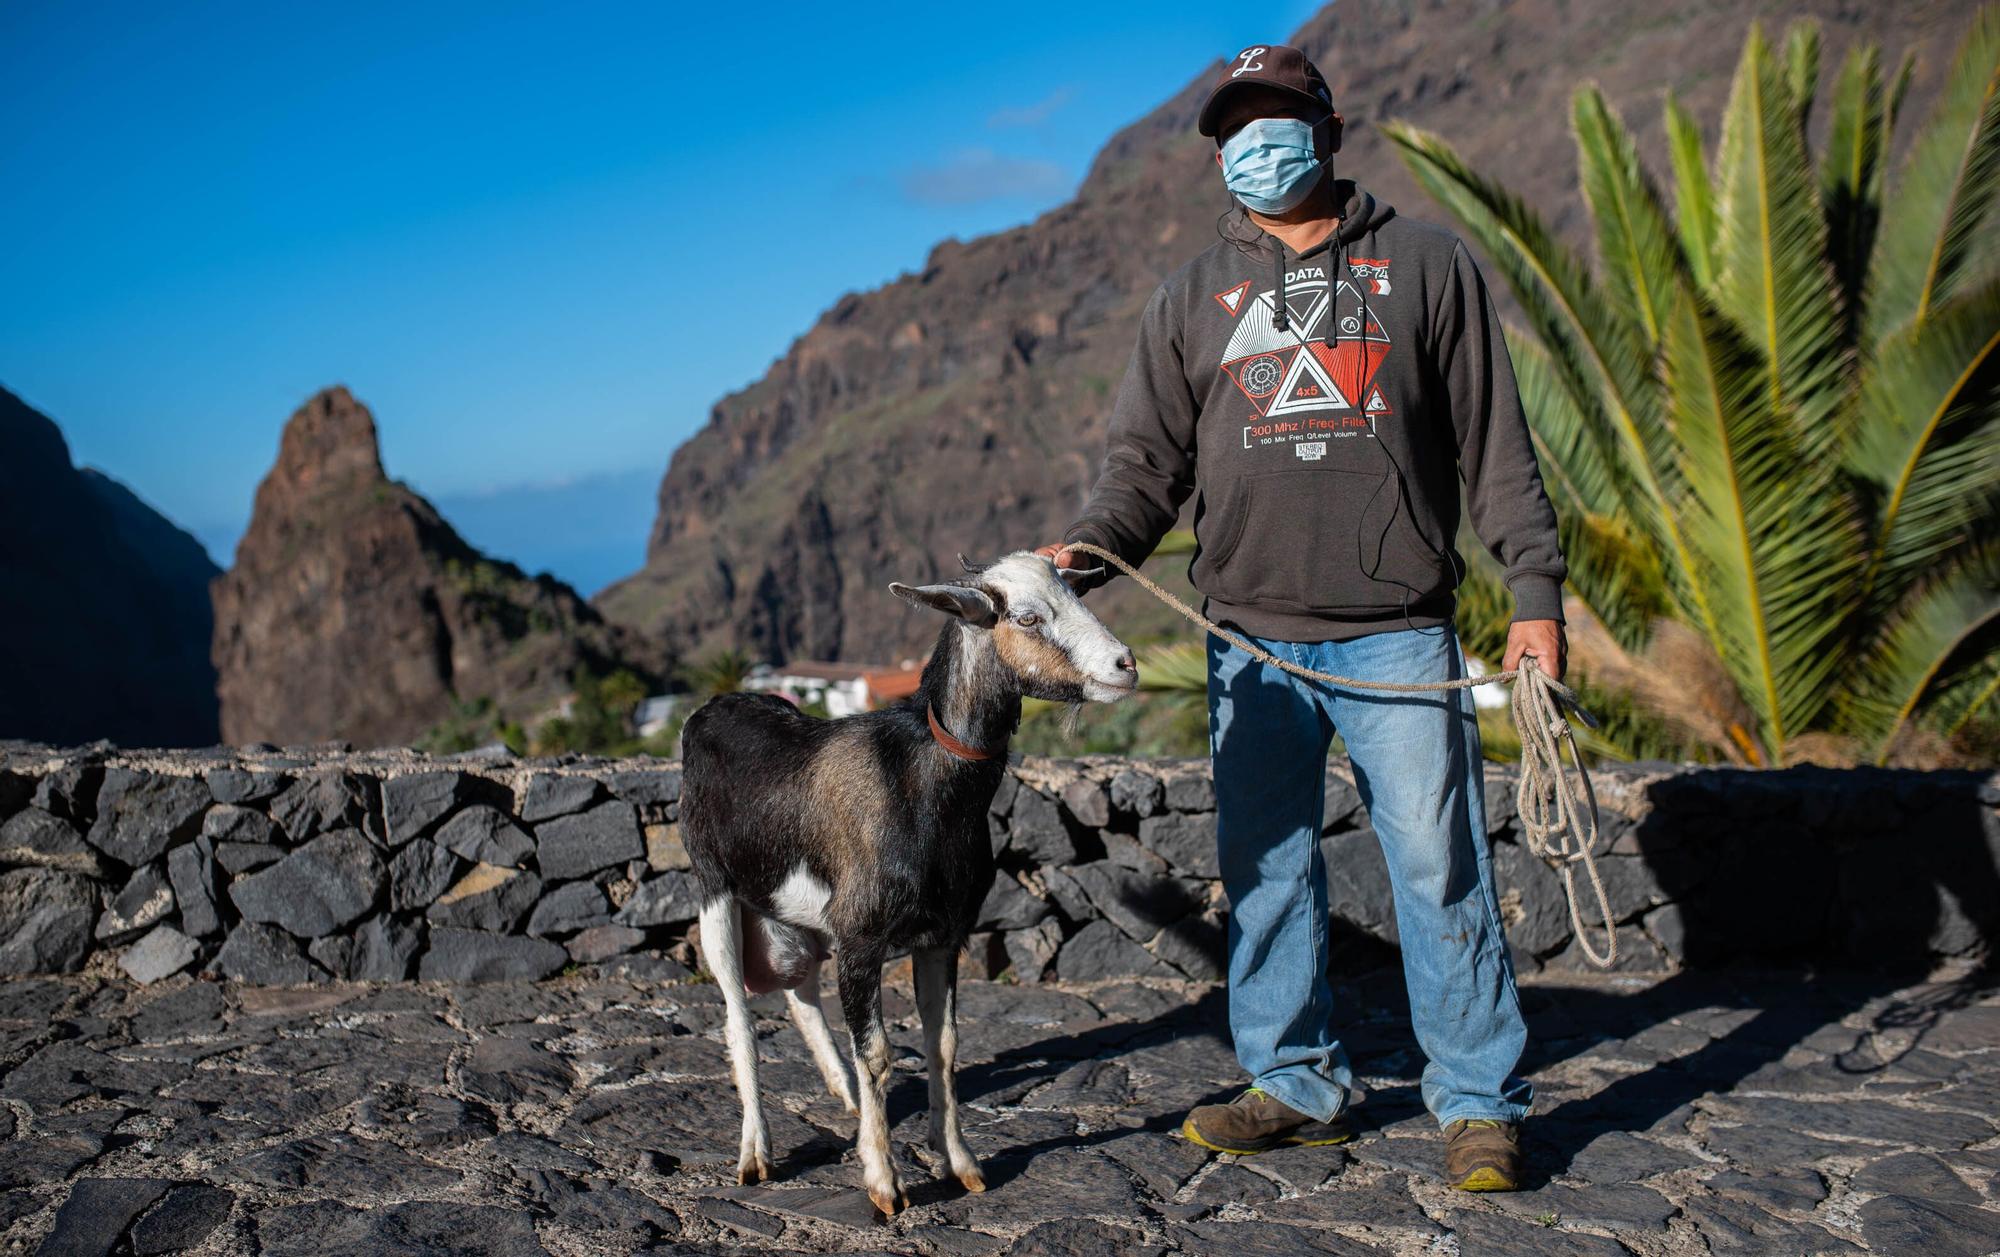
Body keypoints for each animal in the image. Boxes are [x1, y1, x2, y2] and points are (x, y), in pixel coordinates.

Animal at [680, 552, 1136, 1216]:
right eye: (1026, 617)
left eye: (1078, 595)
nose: (1126, 665)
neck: (921, 779)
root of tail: (710, 708)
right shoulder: (862, 937)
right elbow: (878, 1052)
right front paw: (883, 1182)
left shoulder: (944, 935)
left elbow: (944, 1044)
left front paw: (961, 1164)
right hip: (715, 887)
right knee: (738, 1015)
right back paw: (756, 1152)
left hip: (797, 911)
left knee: (800, 990)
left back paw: (845, 1095)